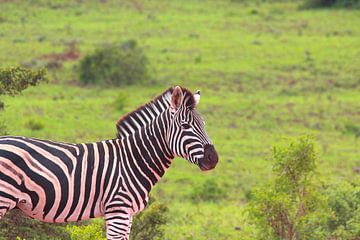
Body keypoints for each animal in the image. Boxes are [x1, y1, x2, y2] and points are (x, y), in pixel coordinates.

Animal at [0, 85, 218, 239]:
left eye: (204, 124)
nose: (213, 159)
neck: (133, 160)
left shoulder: (127, 214)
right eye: (185, 126)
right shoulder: (118, 209)